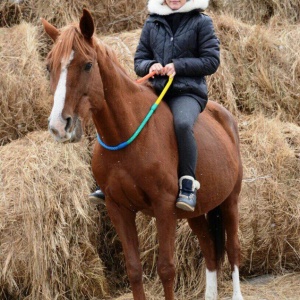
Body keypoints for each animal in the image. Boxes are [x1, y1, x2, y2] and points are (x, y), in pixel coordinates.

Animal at [41, 9, 244, 300]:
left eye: (88, 65)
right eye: (49, 67)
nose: (59, 125)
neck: (126, 137)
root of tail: (225, 116)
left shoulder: (164, 208)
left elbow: (166, 269)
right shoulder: (118, 208)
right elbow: (134, 270)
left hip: (230, 201)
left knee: (233, 250)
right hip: (197, 212)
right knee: (210, 251)